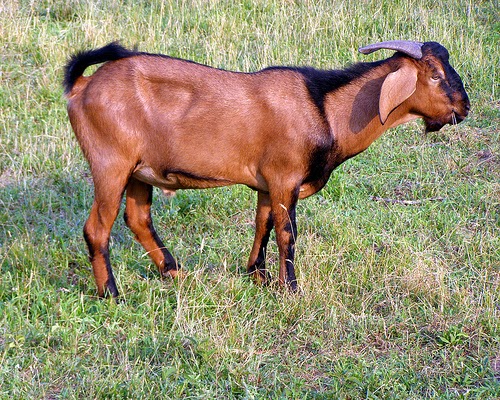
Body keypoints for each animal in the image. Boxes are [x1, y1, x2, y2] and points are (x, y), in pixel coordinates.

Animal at [62, 40, 468, 296]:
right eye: (434, 74)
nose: (464, 107)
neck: (324, 108)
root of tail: (82, 85)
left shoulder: (266, 183)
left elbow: (264, 223)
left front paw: (258, 275)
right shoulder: (284, 177)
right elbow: (287, 232)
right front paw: (290, 289)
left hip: (139, 171)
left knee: (138, 218)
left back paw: (174, 272)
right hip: (111, 164)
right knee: (97, 228)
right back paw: (112, 293)